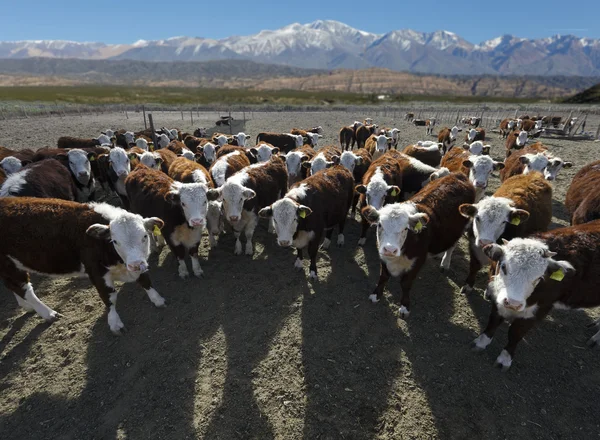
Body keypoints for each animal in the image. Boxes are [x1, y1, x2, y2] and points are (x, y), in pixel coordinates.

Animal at [0, 197, 164, 334]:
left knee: (13, 286)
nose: (136, 265)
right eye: (115, 241)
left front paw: (158, 299)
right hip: (9, 265)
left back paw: (27, 306)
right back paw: (48, 313)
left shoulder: (140, 263)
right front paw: (115, 323)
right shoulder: (96, 273)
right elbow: (110, 297)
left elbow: (145, 281)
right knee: (24, 289)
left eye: (144, 236)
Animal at [472, 222, 600, 370]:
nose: (513, 303)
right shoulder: (498, 299)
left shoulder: (540, 309)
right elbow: (493, 321)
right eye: (503, 266)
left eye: (539, 277)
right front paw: (481, 343)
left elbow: (516, 333)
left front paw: (504, 359)